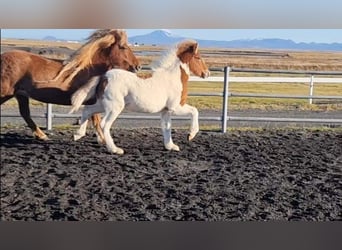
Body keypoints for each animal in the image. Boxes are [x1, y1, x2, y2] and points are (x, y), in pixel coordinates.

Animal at [0, 28, 140, 141]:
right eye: (123, 47)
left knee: (25, 114)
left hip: (21, 95)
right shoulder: (93, 101)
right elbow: (96, 120)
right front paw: (102, 140)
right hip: (6, 93)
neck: (90, 70)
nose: (137, 67)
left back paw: (42, 136)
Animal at [69, 39, 208, 153]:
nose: (206, 73)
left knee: (87, 110)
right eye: (198, 57)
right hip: (115, 107)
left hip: (103, 104)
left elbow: (167, 127)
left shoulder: (165, 111)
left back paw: (78, 134)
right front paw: (191, 135)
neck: (173, 77)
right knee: (104, 124)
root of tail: (104, 77)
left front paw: (171, 146)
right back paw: (115, 149)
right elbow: (194, 111)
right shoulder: (176, 107)